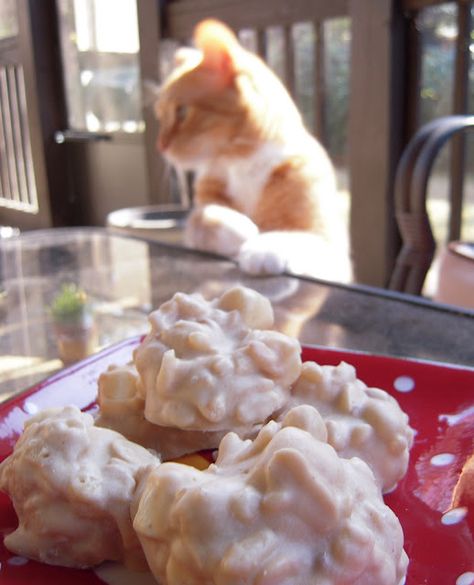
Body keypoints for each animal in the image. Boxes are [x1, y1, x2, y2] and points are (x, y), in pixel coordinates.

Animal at [156, 18, 352, 282]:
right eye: (159, 116)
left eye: (182, 111)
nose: (160, 145)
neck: (238, 162)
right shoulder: (202, 208)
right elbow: (200, 218)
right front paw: (244, 229)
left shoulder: (327, 240)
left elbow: (291, 234)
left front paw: (262, 247)